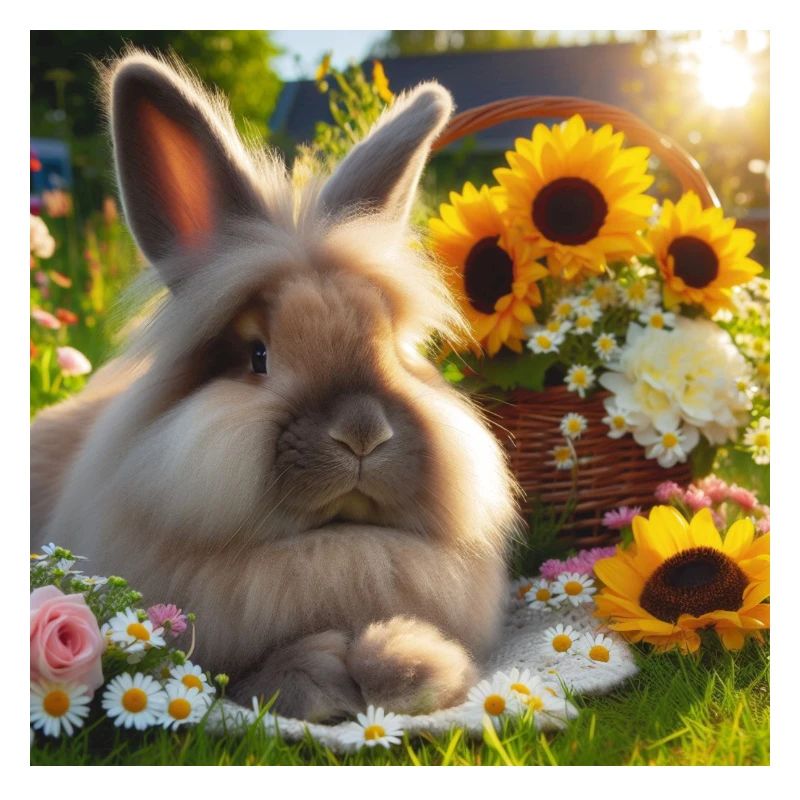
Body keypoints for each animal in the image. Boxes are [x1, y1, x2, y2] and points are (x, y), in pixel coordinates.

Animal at [30, 51, 520, 722]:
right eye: (258, 357)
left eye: (395, 349)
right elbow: (252, 672)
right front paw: (317, 680)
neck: (334, 546)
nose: (363, 433)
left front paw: (407, 665)